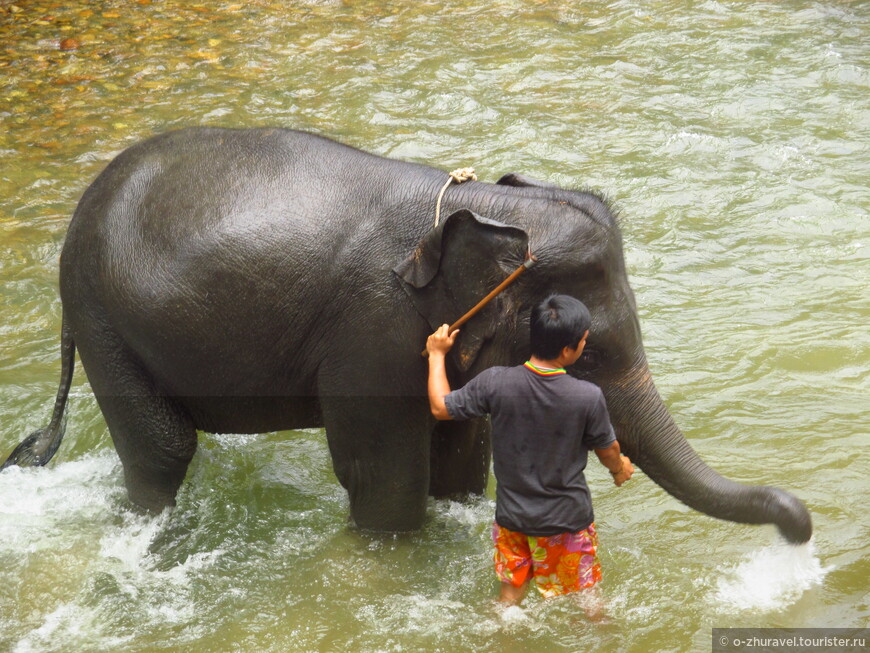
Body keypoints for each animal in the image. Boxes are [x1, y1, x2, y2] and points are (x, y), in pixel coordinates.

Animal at [3, 126, 816, 540]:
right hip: (103, 319)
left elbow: (459, 451)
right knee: (163, 451)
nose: (798, 524)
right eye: (594, 349)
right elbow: (382, 475)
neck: (478, 206)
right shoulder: (374, 329)